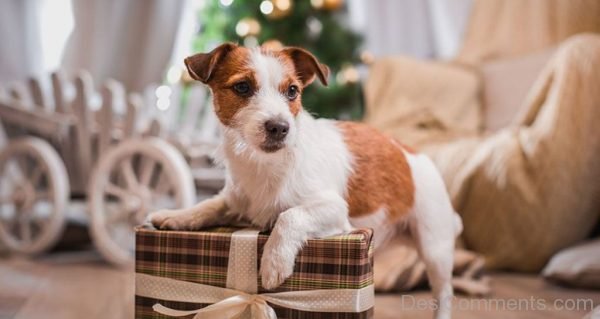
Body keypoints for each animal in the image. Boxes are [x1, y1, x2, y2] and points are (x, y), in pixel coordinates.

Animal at [149, 43, 460, 319]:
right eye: (242, 87)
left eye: (292, 91)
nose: (279, 127)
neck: (267, 165)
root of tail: (412, 152)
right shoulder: (237, 200)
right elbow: (211, 205)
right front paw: (178, 216)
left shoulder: (335, 210)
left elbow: (290, 215)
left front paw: (274, 261)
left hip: (435, 247)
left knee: (444, 293)